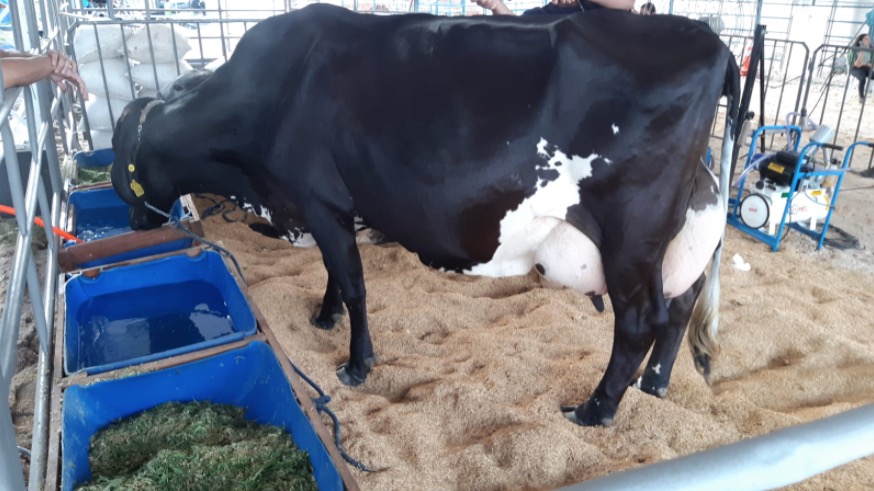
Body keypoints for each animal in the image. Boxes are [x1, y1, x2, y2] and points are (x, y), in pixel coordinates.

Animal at [110, 4, 739, 427]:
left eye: (121, 168)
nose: (135, 225)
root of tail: (711, 41)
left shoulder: (321, 200)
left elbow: (355, 283)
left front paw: (357, 365)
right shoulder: (327, 210)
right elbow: (335, 274)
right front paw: (322, 319)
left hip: (632, 234)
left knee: (639, 322)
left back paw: (595, 409)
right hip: (673, 235)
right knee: (678, 306)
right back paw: (655, 386)